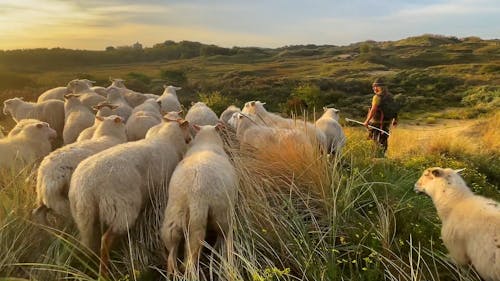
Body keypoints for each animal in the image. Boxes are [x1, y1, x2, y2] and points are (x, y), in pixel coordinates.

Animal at [70, 117, 193, 274]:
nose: (190, 138)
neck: (167, 139)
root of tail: (86, 187)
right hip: (121, 209)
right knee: (106, 240)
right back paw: (104, 272)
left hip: (84, 219)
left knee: (88, 244)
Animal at [161, 123, 237, 274]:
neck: (206, 141)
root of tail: (196, 193)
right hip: (222, 213)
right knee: (224, 237)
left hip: (174, 215)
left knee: (173, 249)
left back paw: (173, 273)